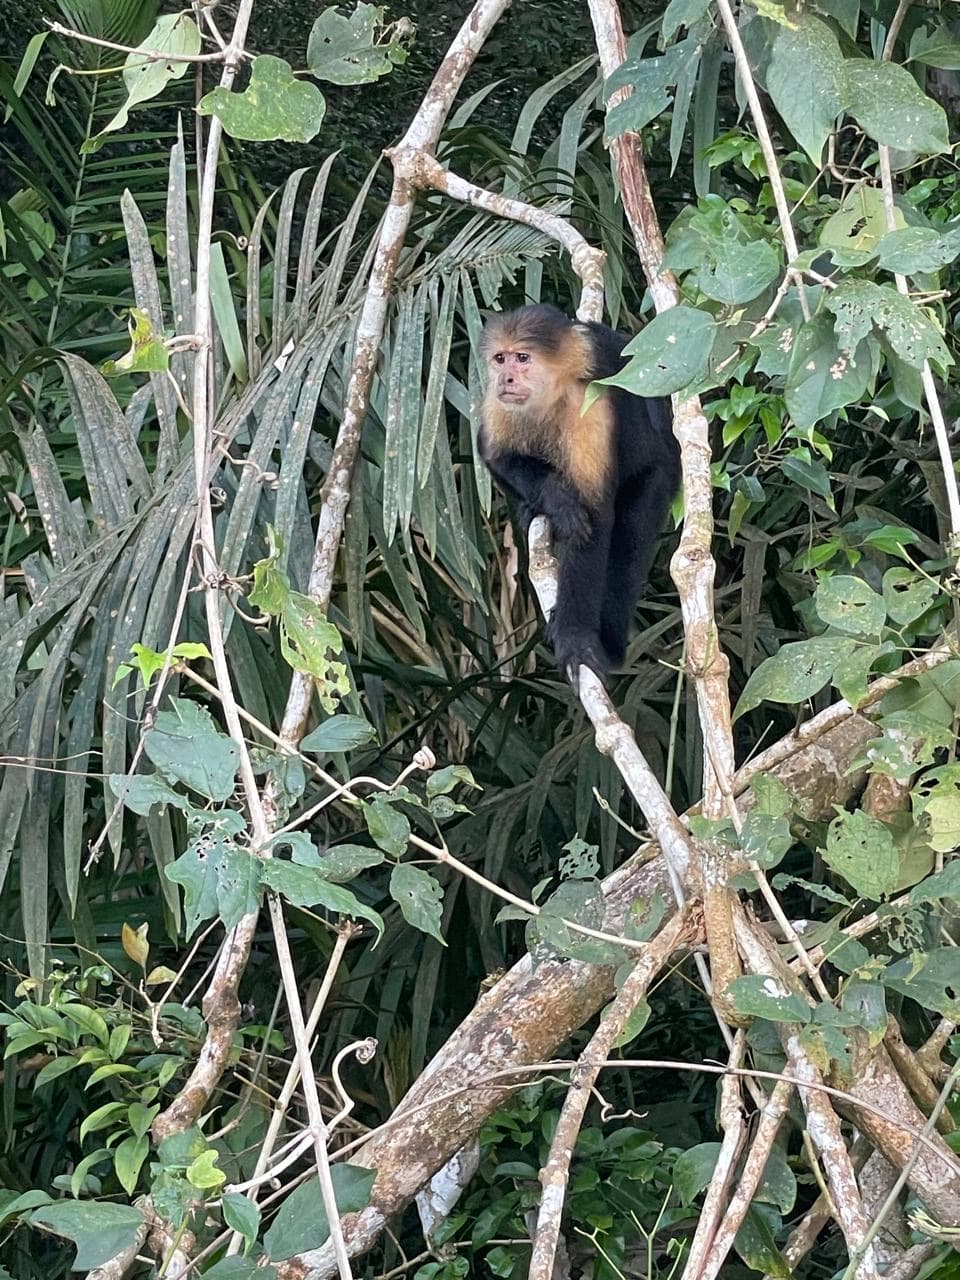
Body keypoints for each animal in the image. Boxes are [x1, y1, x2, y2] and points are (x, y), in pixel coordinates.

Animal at [478, 303, 679, 683]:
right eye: (500, 359)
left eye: (522, 358)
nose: (505, 378)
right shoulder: (496, 403)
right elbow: (494, 454)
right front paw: (556, 498)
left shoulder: (589, 407)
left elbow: (595, 521)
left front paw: (575, 639)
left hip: (661, 474)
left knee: (628, 542)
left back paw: (611, 645)